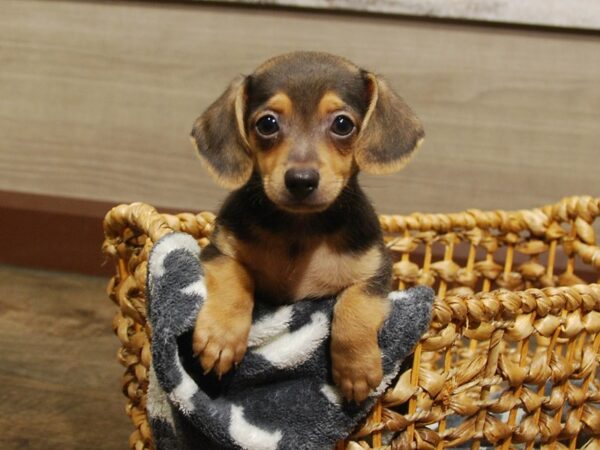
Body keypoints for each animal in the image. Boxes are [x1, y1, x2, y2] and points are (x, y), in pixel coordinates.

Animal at [190, 51, 424, 402]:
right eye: (267, 124)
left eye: (343, 124)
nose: (301, 180)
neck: (299, 230)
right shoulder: (220, 251)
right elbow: (235, 281)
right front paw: (221, 338)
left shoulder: (375, 270)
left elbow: (355, 307)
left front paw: (356, 369)